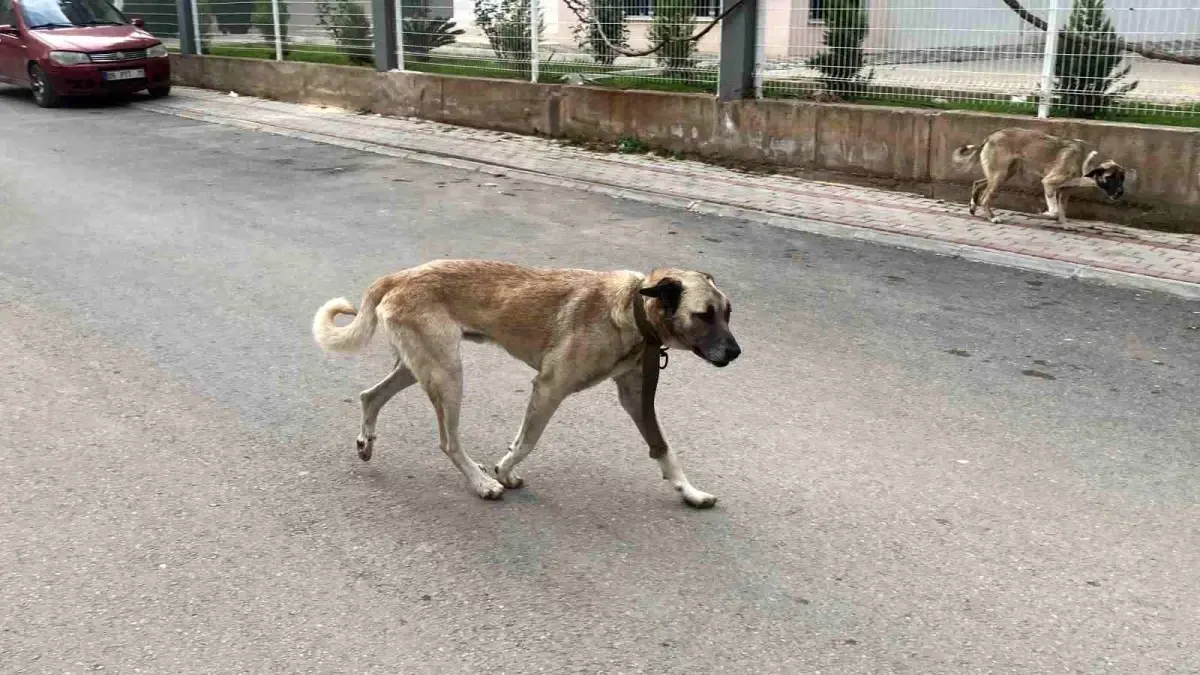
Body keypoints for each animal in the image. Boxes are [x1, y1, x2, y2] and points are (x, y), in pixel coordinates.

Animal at [309, 255, 739, 504]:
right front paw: (502, 470)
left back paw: (366, 442)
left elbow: (663, 448)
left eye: (728, 313)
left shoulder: (636, 399)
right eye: (703, 315)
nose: (736, 353)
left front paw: (690, 491)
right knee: (448, 441)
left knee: (370, 395)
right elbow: (528, 440)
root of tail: (397, 277)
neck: (631, 306)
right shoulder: (549, 387)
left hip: (421, 369)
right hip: (447, 374)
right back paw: (481, 482)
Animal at [950, 124, 1128, 222]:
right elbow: (1054, 209)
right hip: (999, 175)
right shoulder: (1049, 182)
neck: (1086, 159)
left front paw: (1063, 223)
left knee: (978, 183)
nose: (1120, 193)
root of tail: (991, 136)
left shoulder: (1065, 190)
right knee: (986, 197)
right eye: (1110, 177)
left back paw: (973, 208)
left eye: (1122, 178)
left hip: (1004, 174)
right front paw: (1046, 213)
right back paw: (991, 217)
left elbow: (1061, 209)